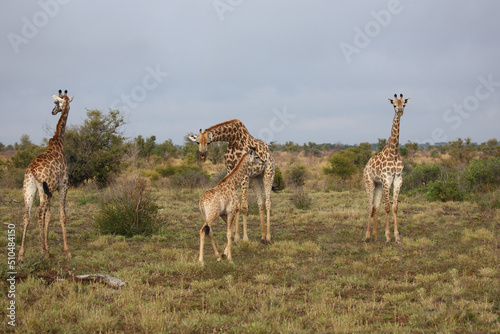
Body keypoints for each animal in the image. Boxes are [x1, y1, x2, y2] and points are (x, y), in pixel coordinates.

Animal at [18, 90, 73, 262]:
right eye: (56, 102)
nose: (53, 111)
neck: (58, 142)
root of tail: (32, 170)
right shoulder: (63, 185)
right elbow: (61, 215)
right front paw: (66, 251)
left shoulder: (51, 190)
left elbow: (49, 215)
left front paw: (49, 248)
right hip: (43, 190)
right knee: (38, 214)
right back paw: (41, 251)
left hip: (29, 189)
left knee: (27, 215)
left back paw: (21, 254)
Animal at [364, 93, 410, 243]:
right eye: (394, 105)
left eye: (404, 104)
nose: (400, 112)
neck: (394, 152)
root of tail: (366, 166)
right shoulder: (386, 180)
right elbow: (387, 207)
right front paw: (388, 236)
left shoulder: (398, 179)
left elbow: (394, 207)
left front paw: (397, 236)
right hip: (370, 182)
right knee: (369, 207)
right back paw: (367, 236)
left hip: (378, 185)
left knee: (375, 207)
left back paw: (375, 235)